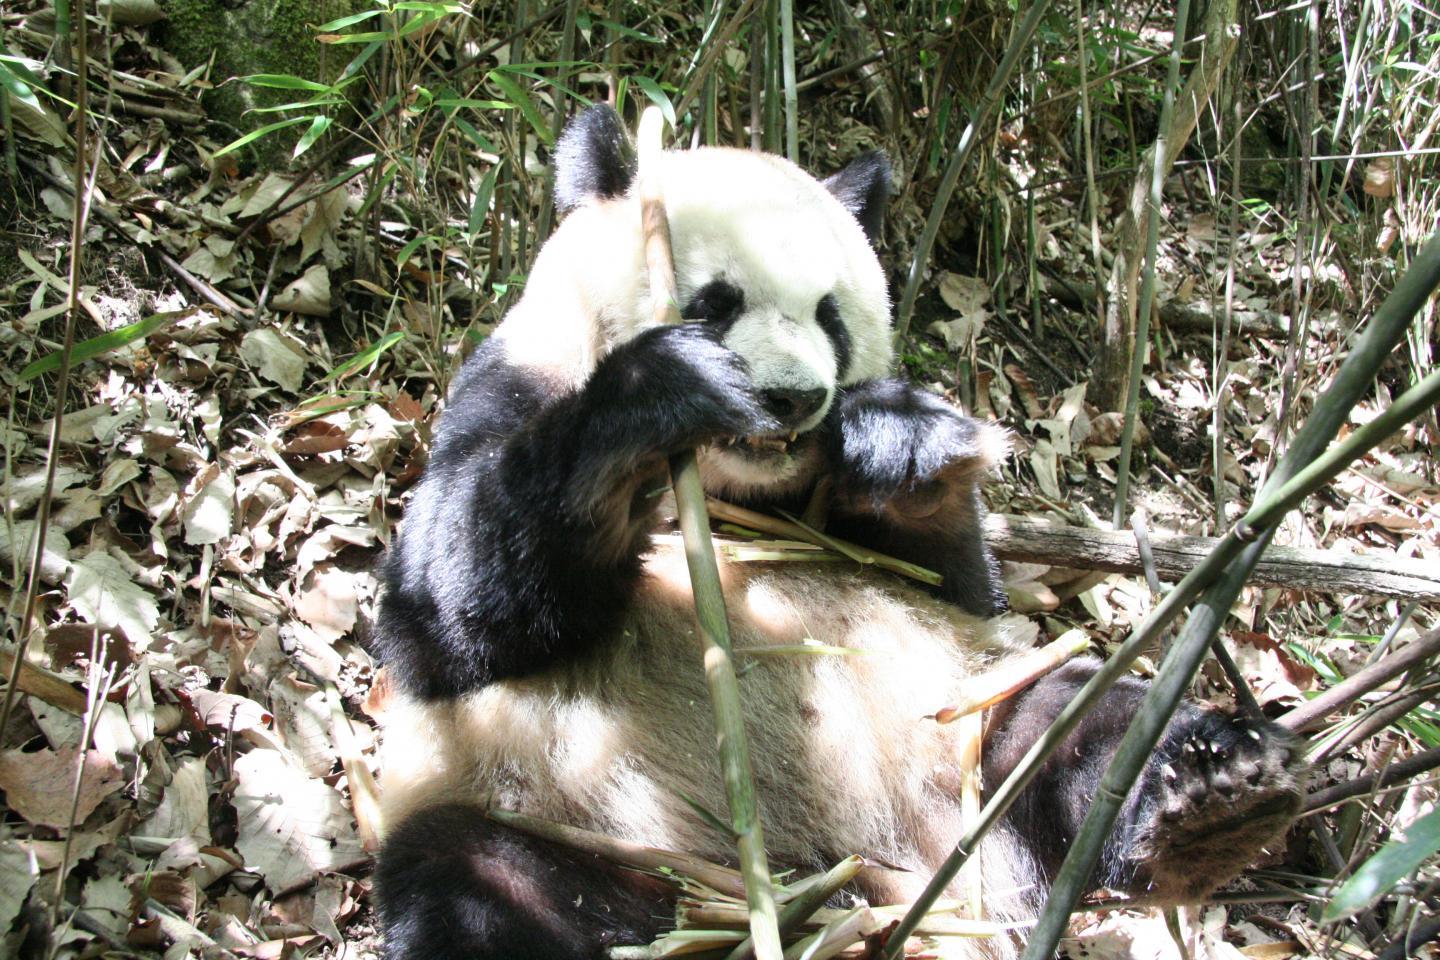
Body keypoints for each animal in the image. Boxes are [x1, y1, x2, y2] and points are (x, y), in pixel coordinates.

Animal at [368, 105, 1307, 960]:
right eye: (716, 301)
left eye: (831, 315)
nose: (792, 398)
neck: (739, 486)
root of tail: (873, 877)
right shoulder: (520, 378)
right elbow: (448, 609)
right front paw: (661, 392)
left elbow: (954, 579)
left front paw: (901, 443)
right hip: (556, 816)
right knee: (485, 892)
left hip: (959, 720)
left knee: (1078, 719)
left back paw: (1214, 795)